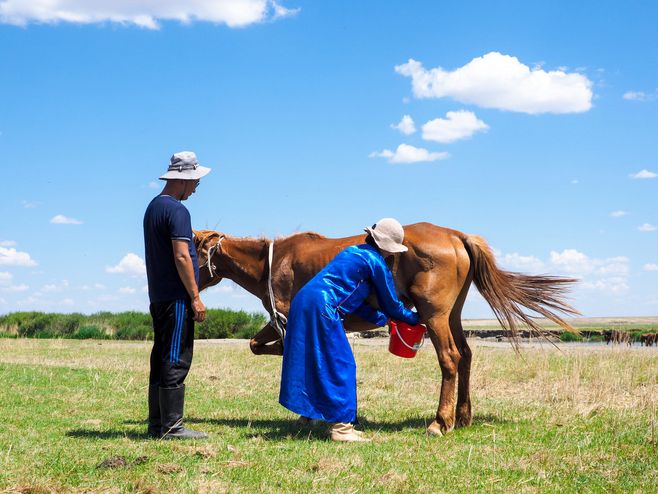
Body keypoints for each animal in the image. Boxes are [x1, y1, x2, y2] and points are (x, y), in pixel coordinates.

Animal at [192, 222, 576, 434]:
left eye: (193, 251)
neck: (275, 260)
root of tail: (456, 235)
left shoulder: (285, 317)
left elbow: (287, 353)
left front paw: (306, 415)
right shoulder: (279, 322)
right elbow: (258, 345)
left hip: (435, 316)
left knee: (450, 358)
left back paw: (440, 422)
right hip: (452, 315)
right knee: (466, 356)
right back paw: (462, 417)